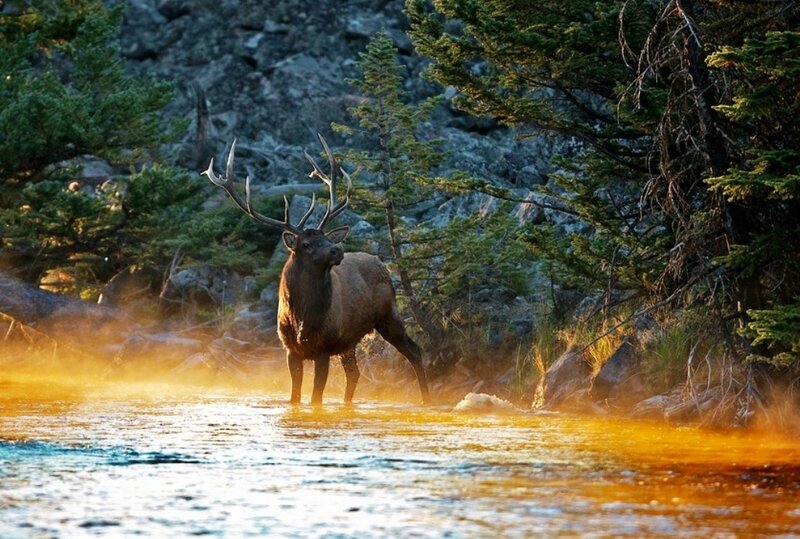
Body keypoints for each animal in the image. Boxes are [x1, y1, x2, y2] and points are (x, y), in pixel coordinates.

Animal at [203, 135, 430, 406]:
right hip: (348, 340)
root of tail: (380, 262)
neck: (302, 318)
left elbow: (315, 399)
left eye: (326, 238)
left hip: (388, 314)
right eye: (307, 244)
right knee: (354, 373)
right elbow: (295, 397)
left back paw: (428, 399)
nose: (337, 250)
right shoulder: (291, 350)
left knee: (415, 351)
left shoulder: (324, 348)